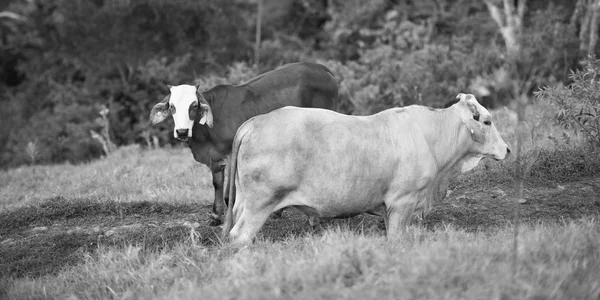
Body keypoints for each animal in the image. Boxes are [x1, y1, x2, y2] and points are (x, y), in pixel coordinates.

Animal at [148, 61, 340, 225]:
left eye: (194, 105)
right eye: (172, 106)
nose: (181, 132)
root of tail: (321, 68)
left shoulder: (232, 153)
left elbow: (230, 191)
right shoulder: (215, 158)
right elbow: (217, 184)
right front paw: (215, 216)